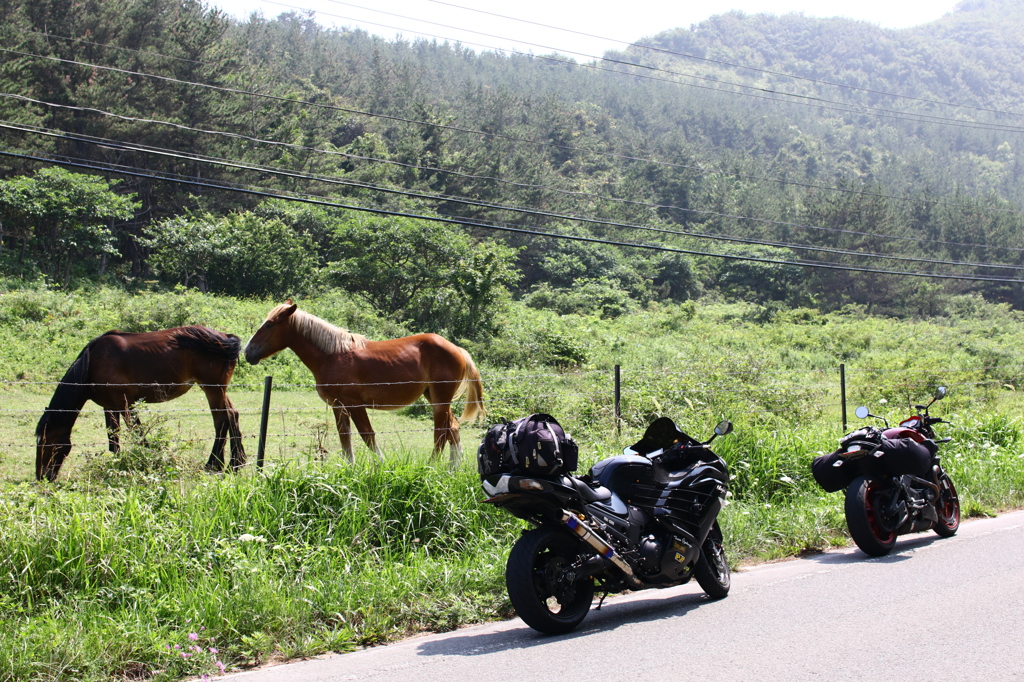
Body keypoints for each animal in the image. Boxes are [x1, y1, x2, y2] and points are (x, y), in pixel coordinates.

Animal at [34, 323, 245, 477]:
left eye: (46, 442)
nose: (42, 476)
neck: (93, 363)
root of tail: (225, 337)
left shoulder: (125, 404)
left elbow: (138, 434)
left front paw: (150, 461)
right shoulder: (109, 407)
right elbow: (113, 438)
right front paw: (115, 463)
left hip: (212, 389)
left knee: (221, 421)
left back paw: (213, 465)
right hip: (218, 390)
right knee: (232, 415)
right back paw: (236, 463)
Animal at [247, 301, 487, 462]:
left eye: (269, 325)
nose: (248, 352)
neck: (332, 355)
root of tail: (457, 349)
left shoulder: (354, 404)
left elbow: (367, 435)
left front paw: (382, 465)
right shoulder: (338, 406)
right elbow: (345, 438)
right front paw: (349, 468)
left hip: (439, 400)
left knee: (440, 433)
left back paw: (432, 465)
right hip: (434, 397)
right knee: (453, 429)